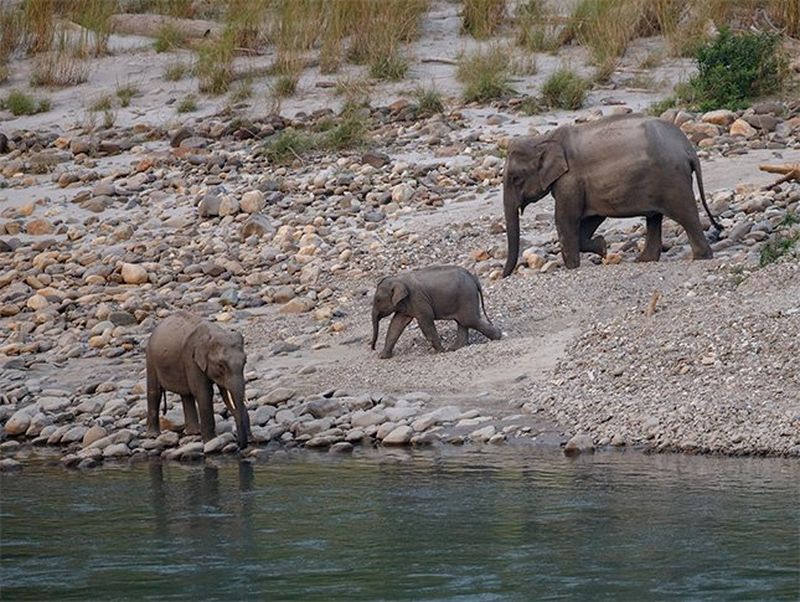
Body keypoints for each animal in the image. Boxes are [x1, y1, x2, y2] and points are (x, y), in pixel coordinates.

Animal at [145, 310, 250, 448]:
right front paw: (210, 441)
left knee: (186, 394)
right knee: (155, 392)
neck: (213, 333)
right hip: (150, 359)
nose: (239, 443)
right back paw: (153, 436)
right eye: (221, 365)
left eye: (245, 361)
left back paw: (194, 432)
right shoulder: (191, 359)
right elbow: (204, 393)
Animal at [371, 265, 502, 359]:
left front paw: (440, 351)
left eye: (377, 300)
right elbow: (396, 324)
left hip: (466, 296)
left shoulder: (418, 299)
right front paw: (383, 357)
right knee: (463, 322)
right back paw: (454, 348)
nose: (373, 348)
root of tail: (474, 277)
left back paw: (498, 337)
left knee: (469, 320)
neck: (398, 278)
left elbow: (426, 322)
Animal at [501, 113, 722, 276]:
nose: (505, 276)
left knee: (685, 215)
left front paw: (574, 267)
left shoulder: (570, 180)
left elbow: (566, 219)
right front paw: (602, 247)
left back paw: (701, 257)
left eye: (515, 178)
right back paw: (643, 260)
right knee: (654, 218)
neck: (543, 139)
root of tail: (688, 149)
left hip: (672, 179)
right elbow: (590, 218)